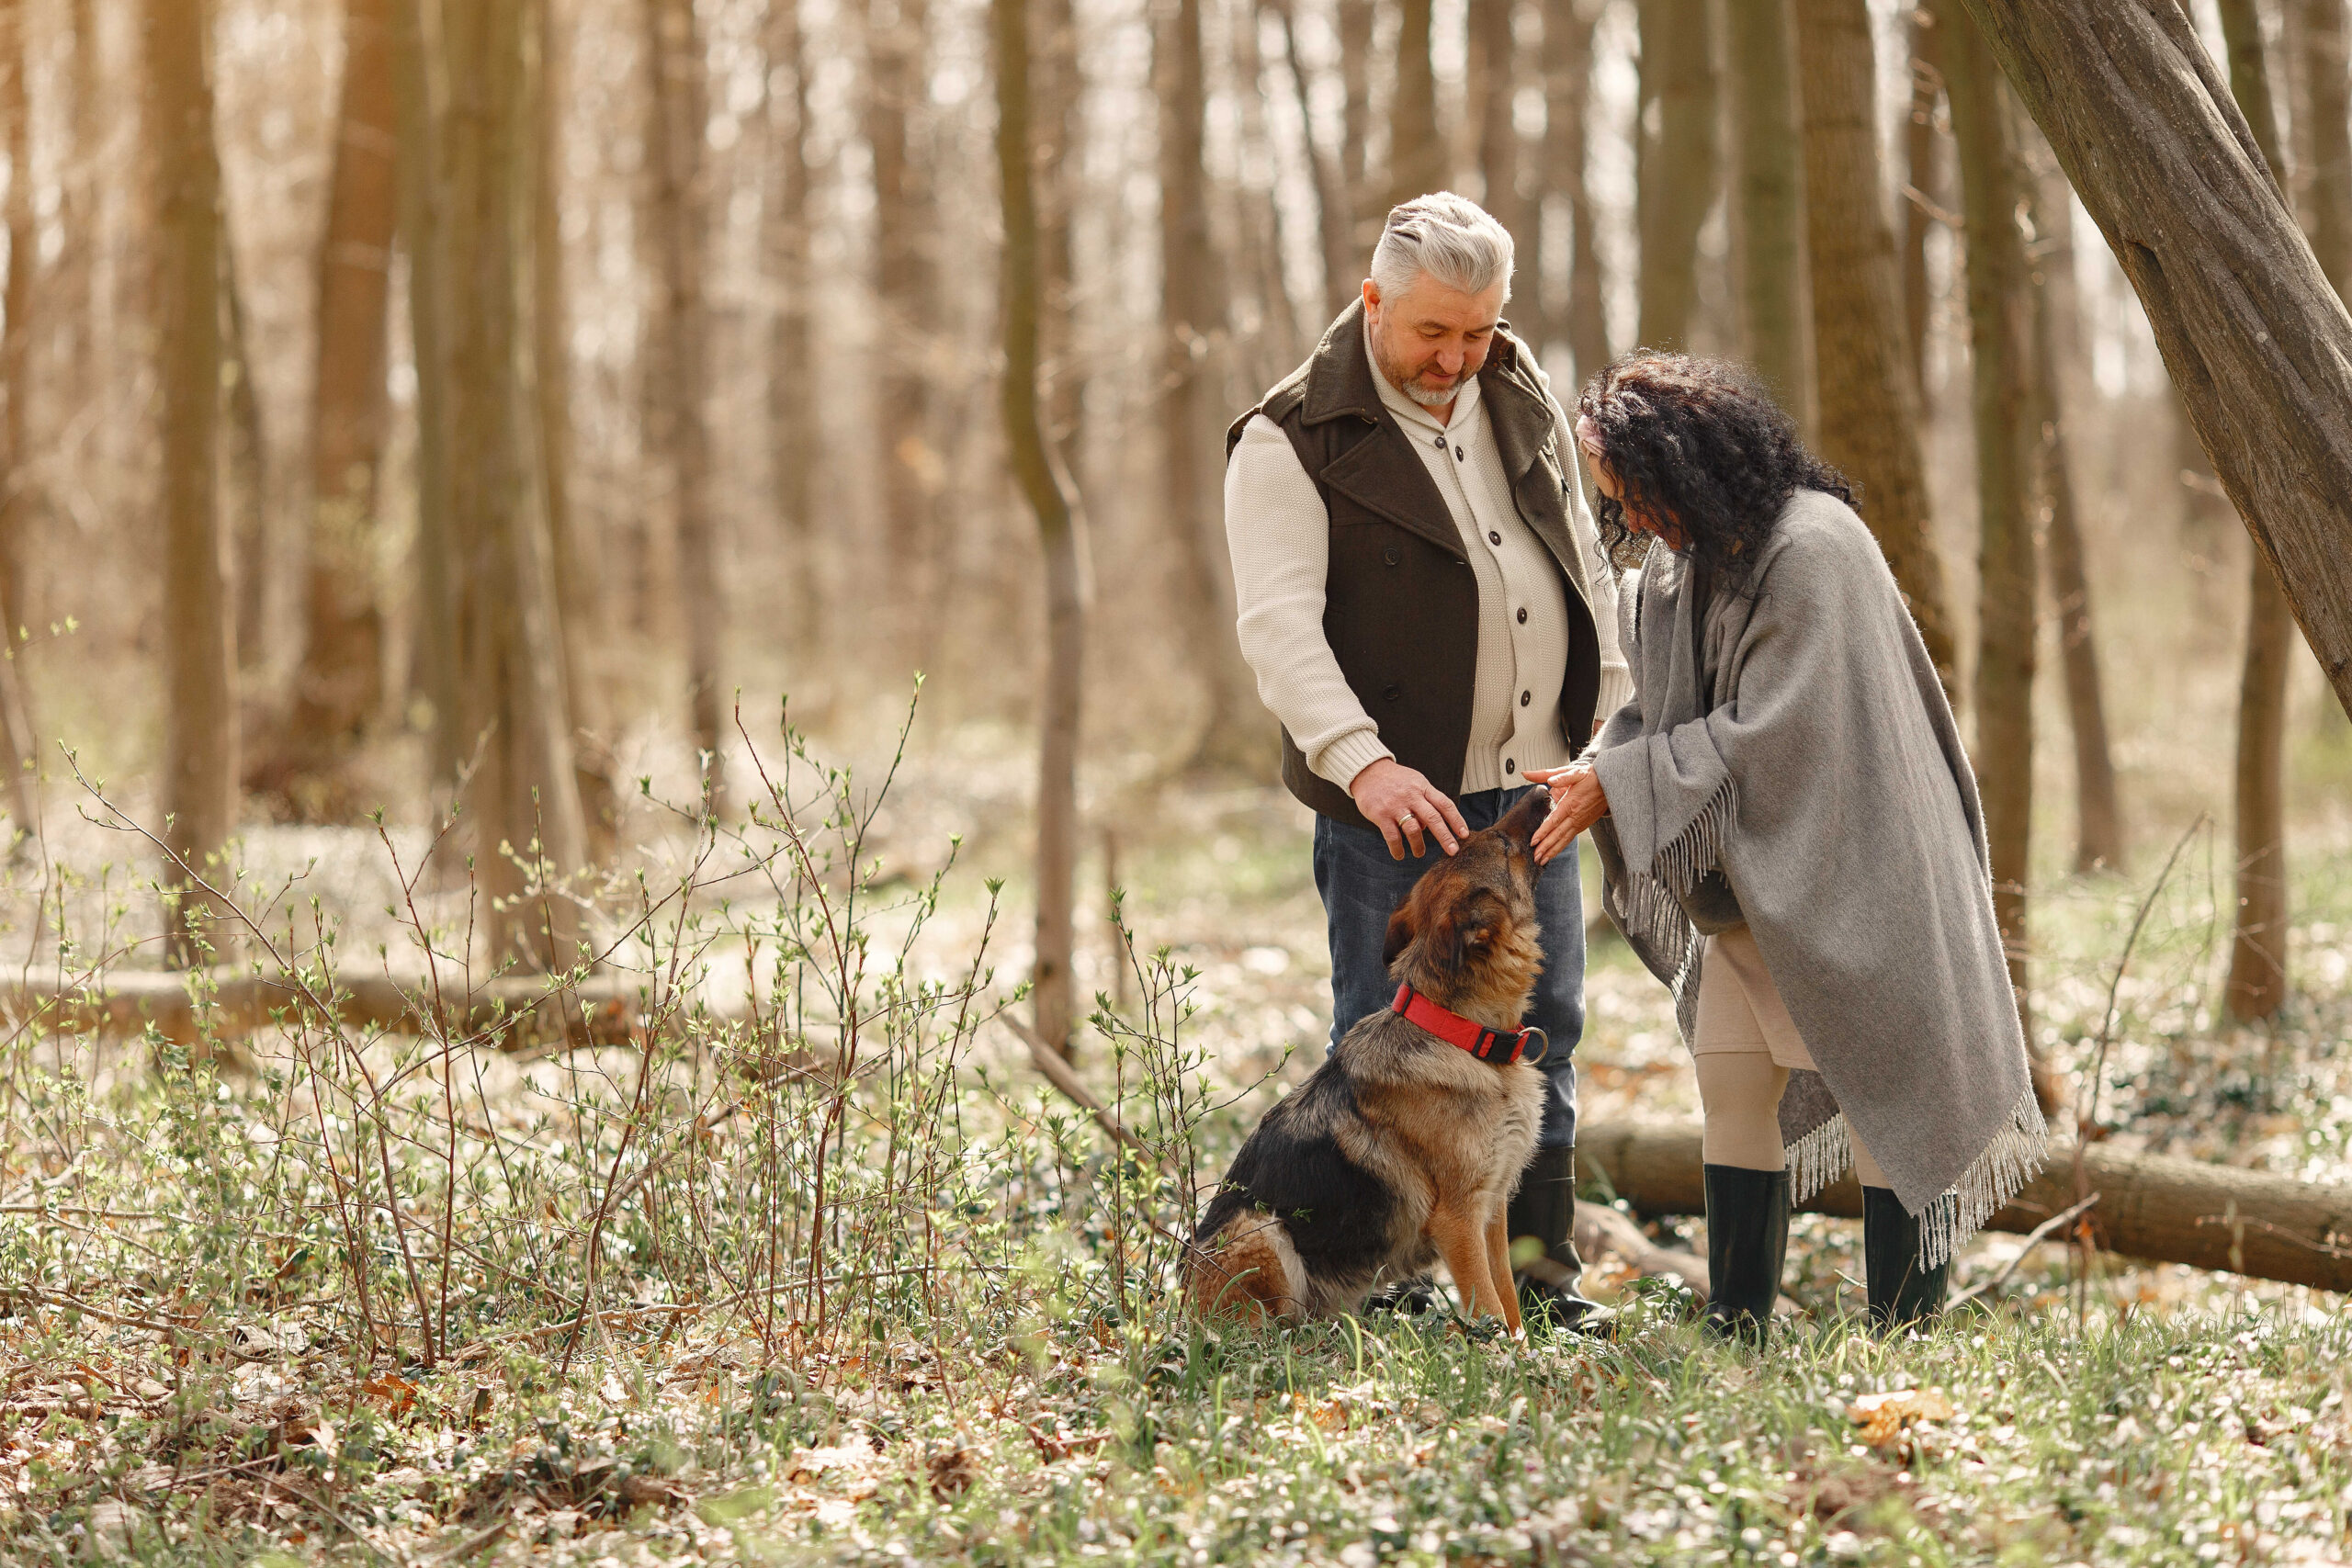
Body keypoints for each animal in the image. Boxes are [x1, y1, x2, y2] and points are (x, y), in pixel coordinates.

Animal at [1185, 789, 1552, 1335]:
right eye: (1504, 844)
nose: (1545, 790)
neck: (1458, 1034)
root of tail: (1172, 1306)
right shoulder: (1459, 1219)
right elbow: (1488, 1307)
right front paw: (1498, 1351)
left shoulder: (1492, 1212)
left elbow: (1507, 1299)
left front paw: (1523, 1349)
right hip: (1262, 1229)